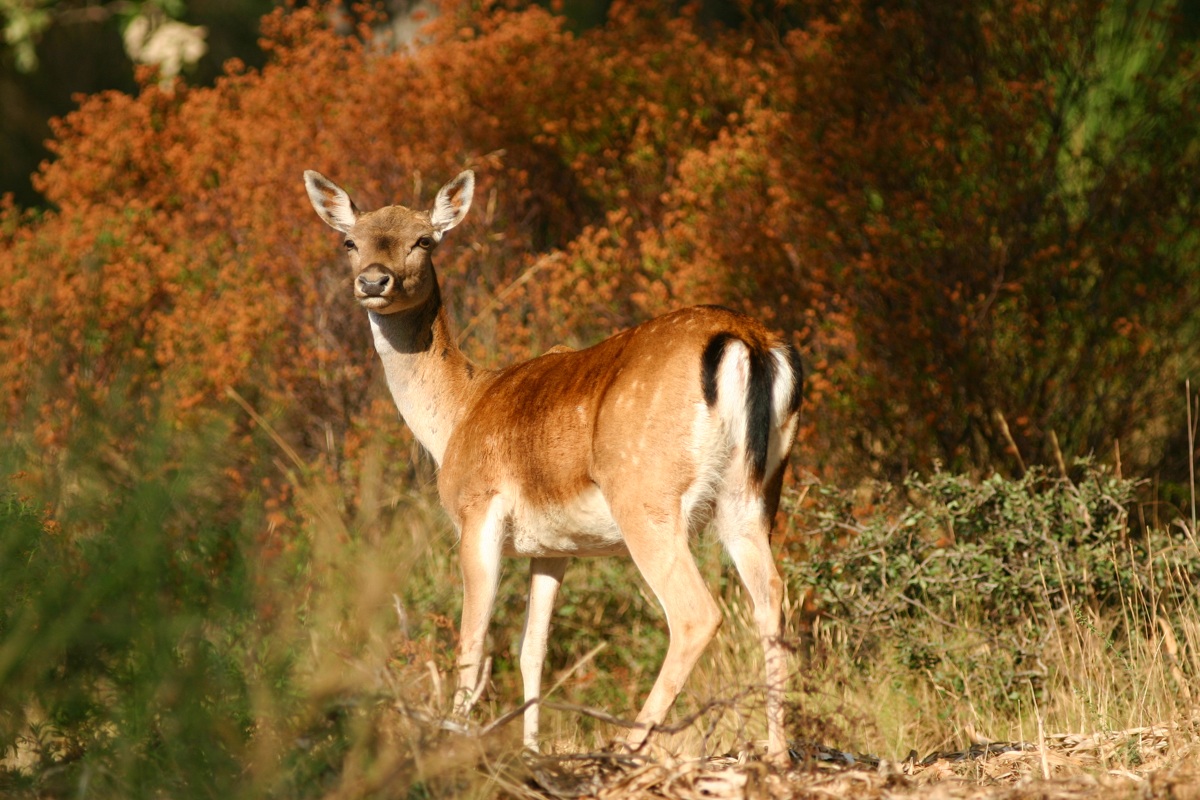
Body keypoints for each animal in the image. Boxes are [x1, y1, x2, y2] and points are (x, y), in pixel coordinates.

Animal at [303, 168, 803, 763]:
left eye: (424, 240)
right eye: (350, 241)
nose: (374, 281)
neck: (456, 415)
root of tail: (749, 343)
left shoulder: (477, 510)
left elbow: (472, 644)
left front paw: (456, 741)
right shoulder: (553, 546)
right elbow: (531, 648)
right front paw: (531, 748)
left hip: (646, 494)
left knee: (696, 612)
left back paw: (628, 743)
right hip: (754, 495)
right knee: (771, 597)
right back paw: (777, 752)